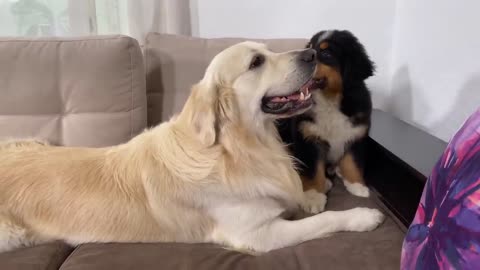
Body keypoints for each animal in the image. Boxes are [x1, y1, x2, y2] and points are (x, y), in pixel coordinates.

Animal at [278, 29, 376, 202]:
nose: (303, 57)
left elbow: (353, 161)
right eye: (309, 47)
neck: (329, 99)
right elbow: (313, 169)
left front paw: (357, 185)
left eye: (326, 53)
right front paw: (313, 195)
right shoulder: (308, 137)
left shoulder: (356, 133)